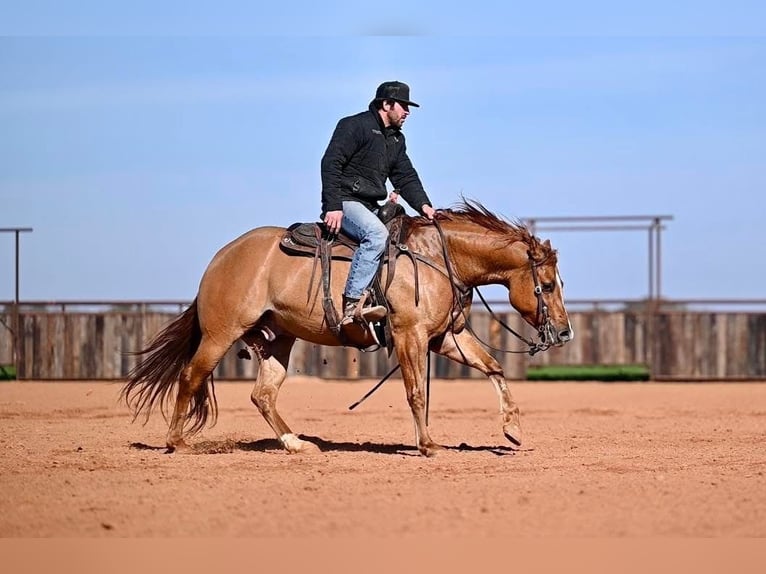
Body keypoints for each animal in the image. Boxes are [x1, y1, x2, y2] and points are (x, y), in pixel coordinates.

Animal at [123, 202, 572, 460]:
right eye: (548, 285)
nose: (565, 333)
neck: (435, 258)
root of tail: (220, 257)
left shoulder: (447, 337)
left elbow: (494, 367)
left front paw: (512, 430)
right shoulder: (410, 335)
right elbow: (416, 392)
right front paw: (427, 445)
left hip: (278, 339)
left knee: (262, 395)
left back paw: (295, 444)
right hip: (221, 333)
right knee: (190, 376)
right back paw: (177, 442)